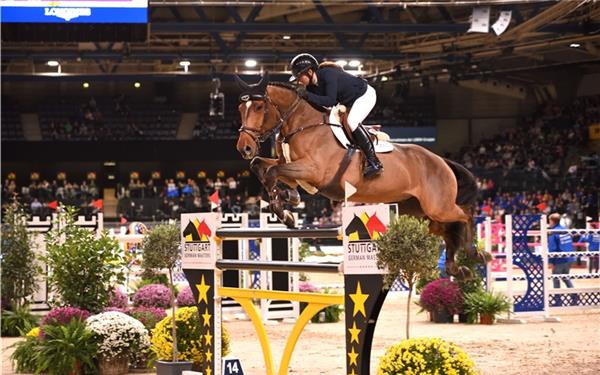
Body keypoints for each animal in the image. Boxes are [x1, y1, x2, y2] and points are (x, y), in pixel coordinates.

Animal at [236, 73, 488, 280]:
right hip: (420, 212)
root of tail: (441, 160)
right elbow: (261, 166)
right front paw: (290, 202)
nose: (244, 148)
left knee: (465, 215)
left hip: (438, 206)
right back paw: (458, 269)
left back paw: (475, 253)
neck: (304, 125)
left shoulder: (314, 171)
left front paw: (285, 212)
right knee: (448, 230)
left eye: (258, 107)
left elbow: (272, 172)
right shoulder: (289, 165)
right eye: (240, 109)